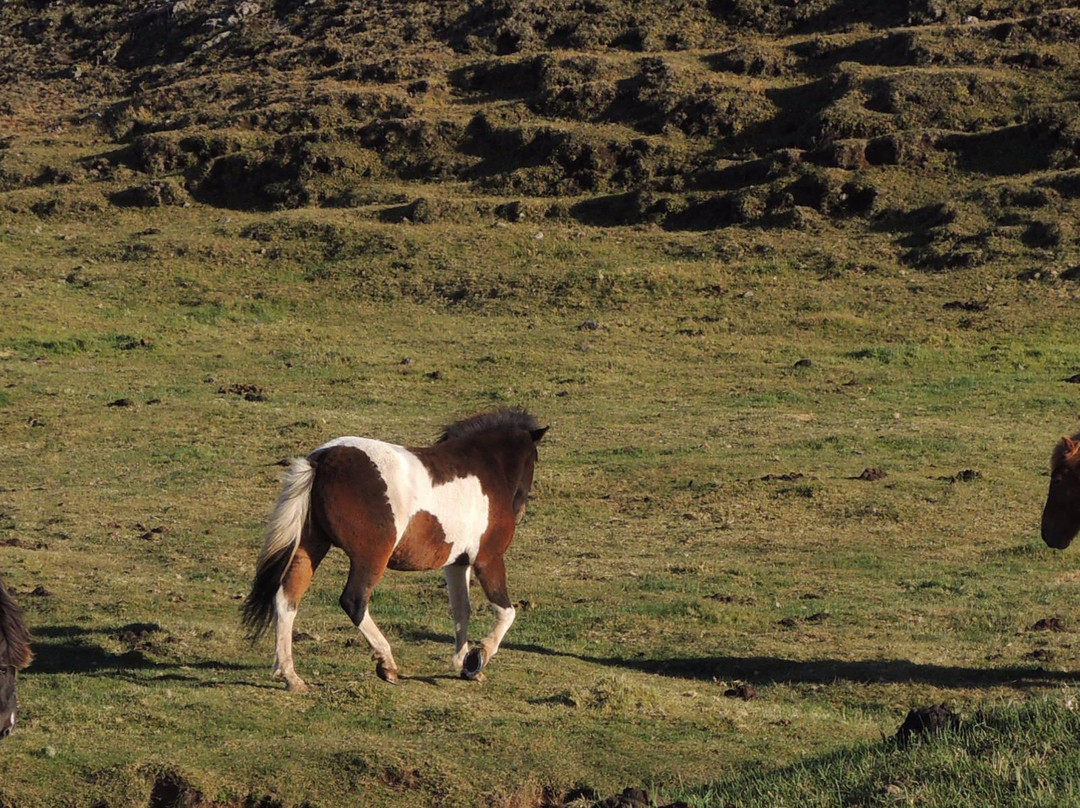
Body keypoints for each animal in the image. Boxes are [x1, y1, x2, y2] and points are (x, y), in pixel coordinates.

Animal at [242, 408, 547, 691]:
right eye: (533, 459)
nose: (520, 511)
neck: (484, 469)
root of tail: (322, 459)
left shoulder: (457, 563)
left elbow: (461, 609)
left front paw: (463, 664)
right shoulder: (488, 558)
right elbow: (506, 612)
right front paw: (477, 658)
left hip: (311, 546)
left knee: (287, 599)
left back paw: (291, 676)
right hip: (371, 557)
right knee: (353, 601)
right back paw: (387, 665)